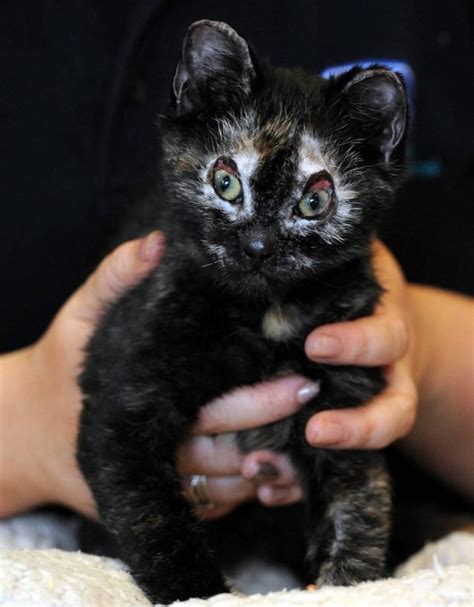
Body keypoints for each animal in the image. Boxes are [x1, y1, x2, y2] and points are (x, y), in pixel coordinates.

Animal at [78, 20, 408, 607]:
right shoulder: (122, 402)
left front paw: (350, 584)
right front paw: (196, 590)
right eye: (225, 181)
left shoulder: (345, 411)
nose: (258, 246)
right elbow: (151, 514)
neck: (268, 314)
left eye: (315, 201)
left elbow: (360, 507)